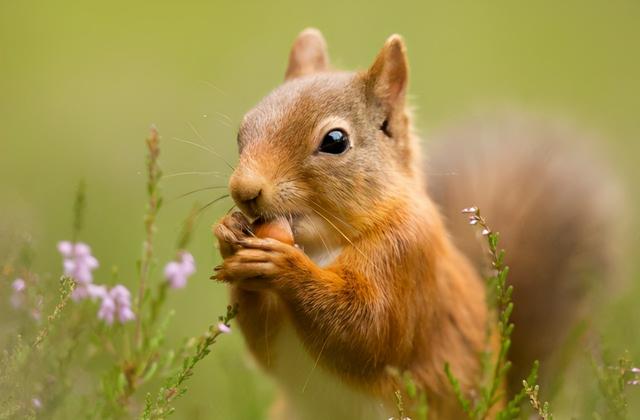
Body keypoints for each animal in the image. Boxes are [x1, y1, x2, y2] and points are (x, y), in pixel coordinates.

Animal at [214, 27, 616, 418]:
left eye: (335, 141)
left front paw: (283, 265)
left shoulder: (406, 256)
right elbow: (264, 344)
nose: (244, 190)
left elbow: (367, 331)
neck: (321, 244)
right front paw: (229, 236)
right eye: (242, 129)